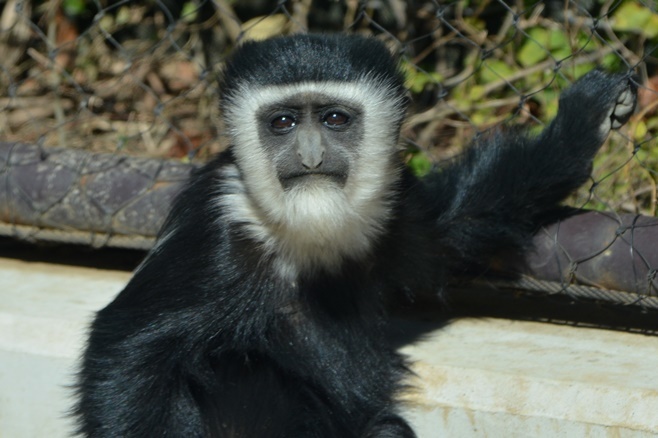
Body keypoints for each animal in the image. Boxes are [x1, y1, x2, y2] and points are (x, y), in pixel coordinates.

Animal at [72, 35, 636, 438]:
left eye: (335, 118)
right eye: (282, 122)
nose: (311, 155)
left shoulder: (393, 211)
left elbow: (456, 226)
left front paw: (584, 123)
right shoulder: (218, 234)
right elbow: (127, 347)